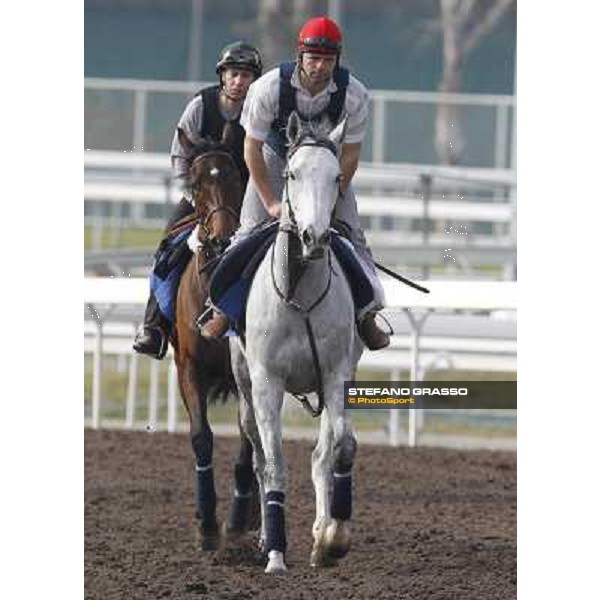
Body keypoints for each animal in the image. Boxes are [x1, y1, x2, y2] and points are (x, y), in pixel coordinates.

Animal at [230, 111, 360, 572]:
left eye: (337, 176)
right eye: (292, 173)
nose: (314, 237)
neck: (299, 295)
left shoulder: (336, 374)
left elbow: (335, 448)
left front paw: (331, 539)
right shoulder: (267, 382)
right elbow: (275, 465)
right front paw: (275, 555)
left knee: (328, 450)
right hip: (244, 384)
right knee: (258, 457)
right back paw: (266, 540)